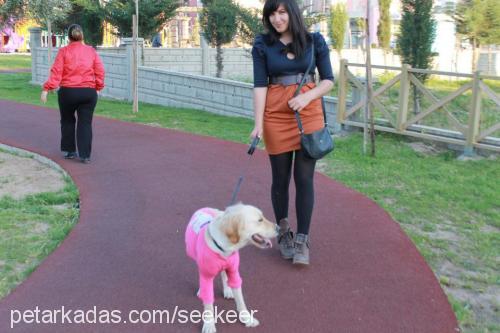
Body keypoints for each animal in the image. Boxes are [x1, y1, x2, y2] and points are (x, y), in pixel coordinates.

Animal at [185, 202, 280, 332]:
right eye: (260, 220)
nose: (279, 228)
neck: (224, 249)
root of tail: (205, 208)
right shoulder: (207, 275)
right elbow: (208, 303)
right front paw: (209, 324)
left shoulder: (234, 271)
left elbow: (240, 299)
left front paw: (247, 319)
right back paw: (201, 290)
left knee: (224, 274)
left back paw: (227, 290)